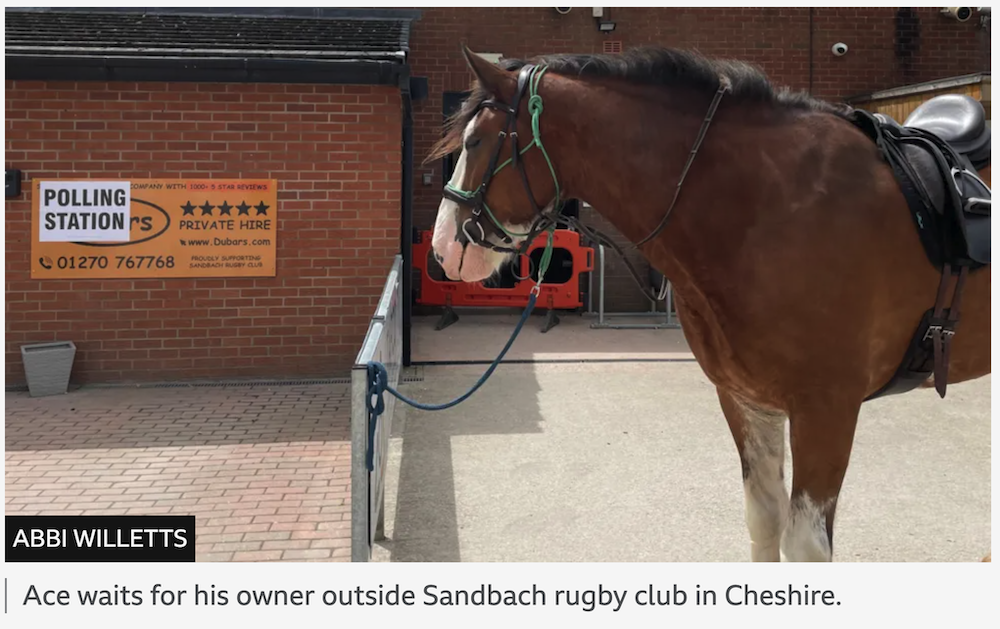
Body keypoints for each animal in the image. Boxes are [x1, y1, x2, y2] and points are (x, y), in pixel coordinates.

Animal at [428, 45, 990, 562]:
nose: (443, 250)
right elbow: (764, 521)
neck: (772, 207)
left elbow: (804, 545)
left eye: (475, 141)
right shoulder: (748, 400)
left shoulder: (827, 409)